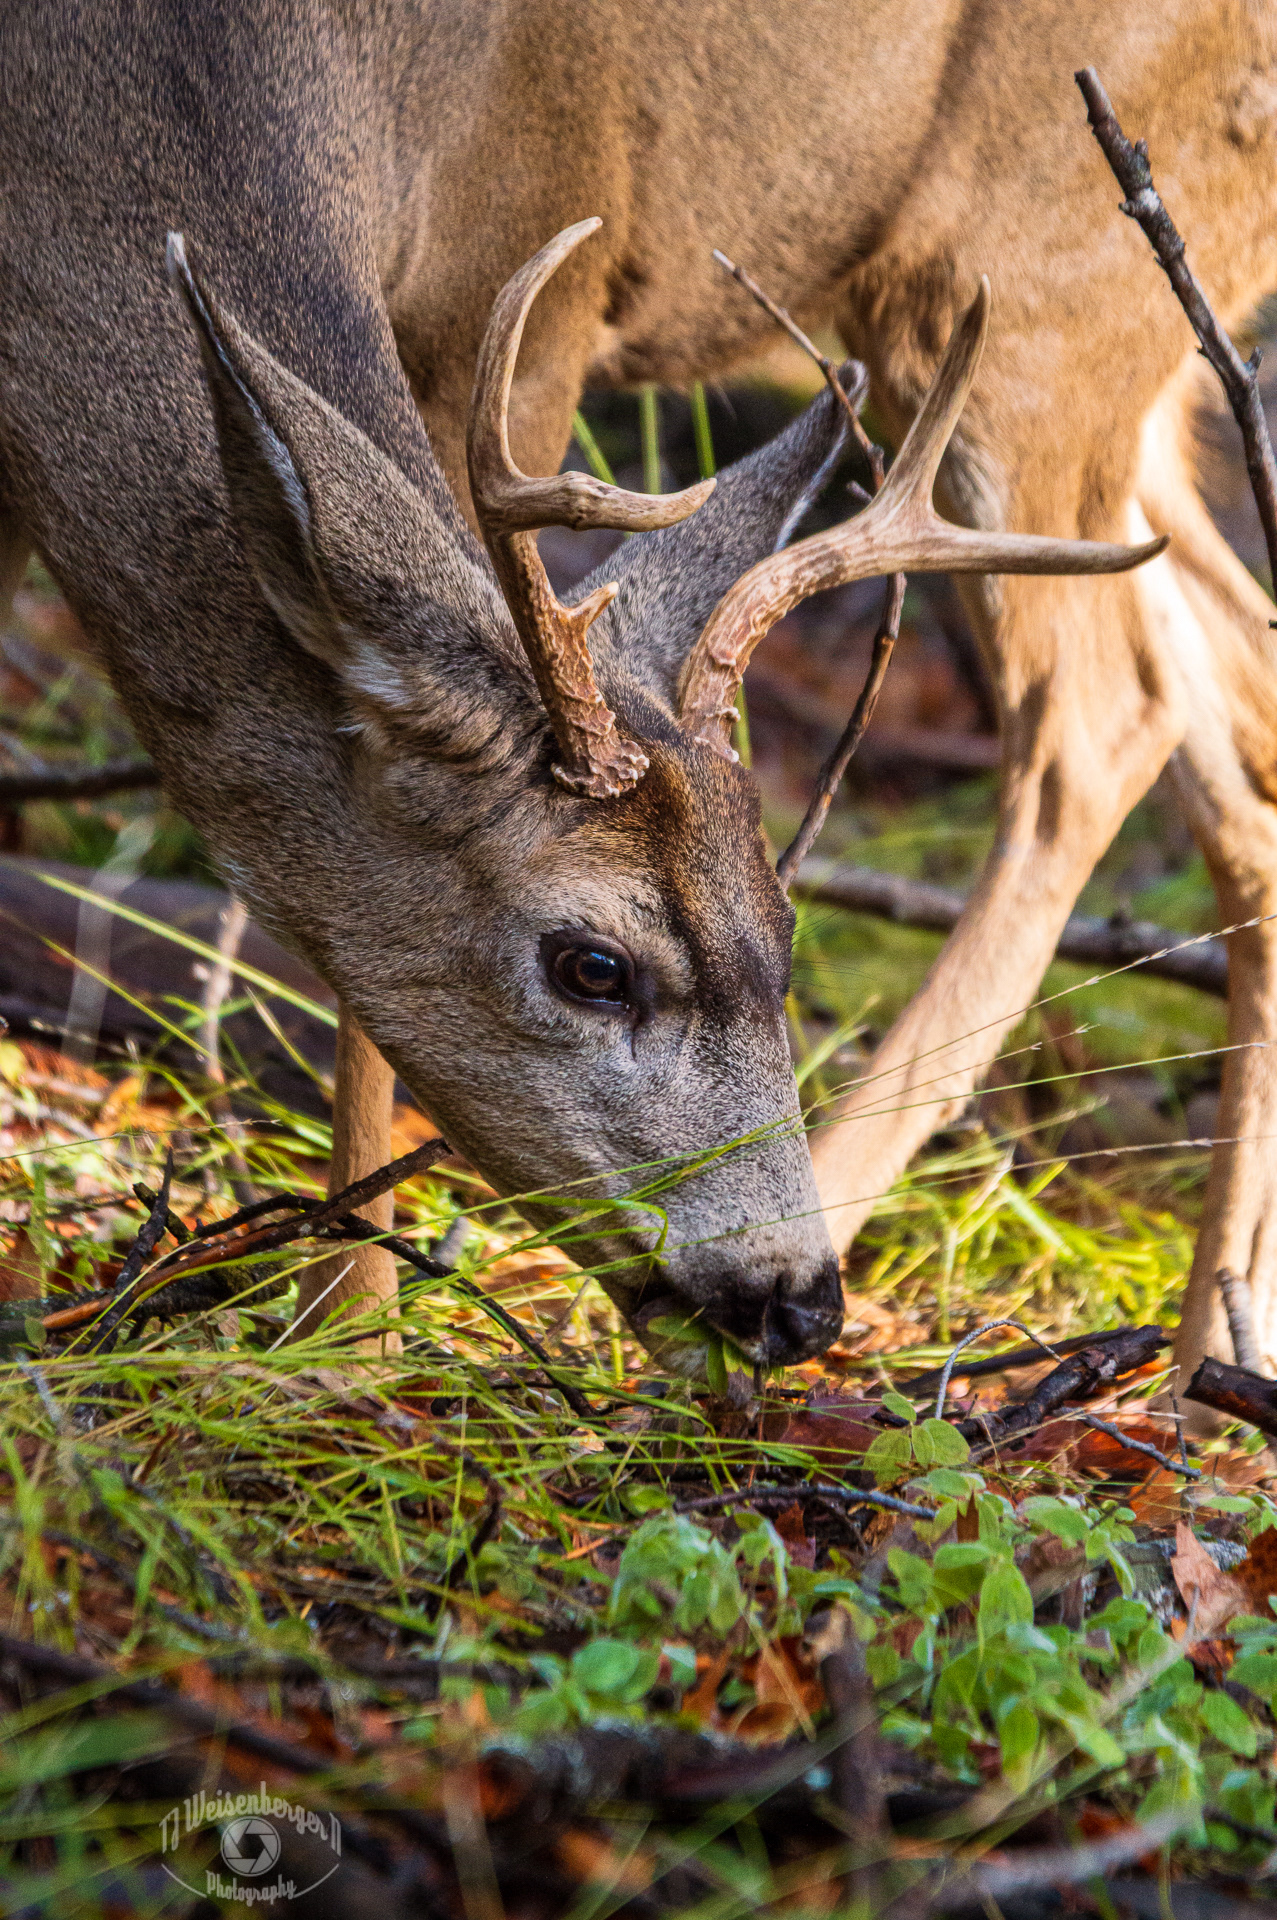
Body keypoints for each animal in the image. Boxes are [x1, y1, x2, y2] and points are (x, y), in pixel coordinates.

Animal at [0, 1, 1273, 1385]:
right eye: (593, 968)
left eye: (784, 936)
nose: (794, 1303)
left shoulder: (542, 251)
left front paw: (347, 1340)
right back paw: (1207, 1363)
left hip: (1044, 282)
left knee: (1102, 717)